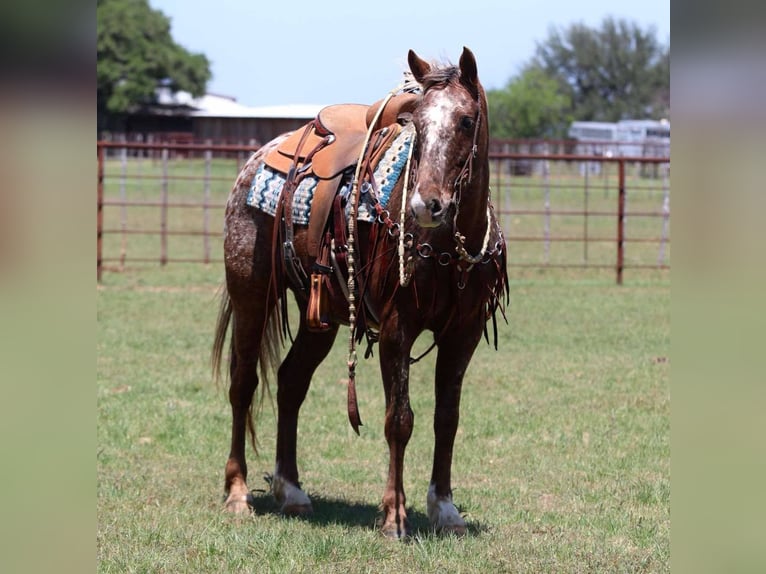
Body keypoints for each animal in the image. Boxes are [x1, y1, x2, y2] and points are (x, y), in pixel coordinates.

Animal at [212, 47, 508, 539]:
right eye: (417, 123)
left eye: (466, 121)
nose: (425, 205)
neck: (449, 244)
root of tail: (260, 157)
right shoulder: (396, 329)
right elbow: (400, 420)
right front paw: (394, 516)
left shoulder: (463, 334)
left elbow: (447, 419)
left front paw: (445, 510)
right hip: (251, 294)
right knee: (243, 384)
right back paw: (237, 494)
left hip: (320, 316)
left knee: (291, 382)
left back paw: (292, 491)